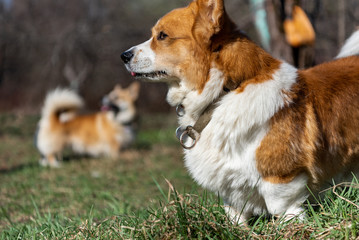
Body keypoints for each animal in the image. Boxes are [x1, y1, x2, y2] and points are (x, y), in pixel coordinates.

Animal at [121, 0, 359, 223]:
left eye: (162, 36)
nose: (124, 55)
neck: (223, 93)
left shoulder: (282, 179)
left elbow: (282, 208)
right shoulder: (231, 190)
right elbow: (235, 215)